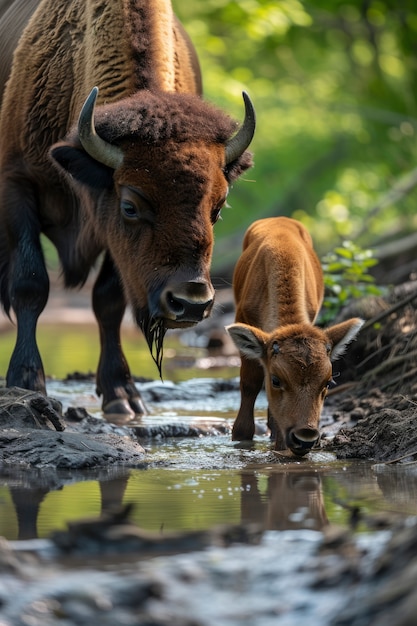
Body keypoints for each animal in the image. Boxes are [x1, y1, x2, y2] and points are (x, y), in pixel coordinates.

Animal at [0, 3, 255, 420]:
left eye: (218, 208)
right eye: (130, 206)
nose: (190, 302)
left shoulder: (113, 248)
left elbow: (108, 300)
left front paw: (122, 394)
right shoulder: (16, 185)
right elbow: (31, 284)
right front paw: (26, 381)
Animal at [226, 217, 362, 456]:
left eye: (328, 382)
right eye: (276, 379)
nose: (305, 437)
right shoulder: (244, 320)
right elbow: (250, 382)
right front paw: (241, 436)